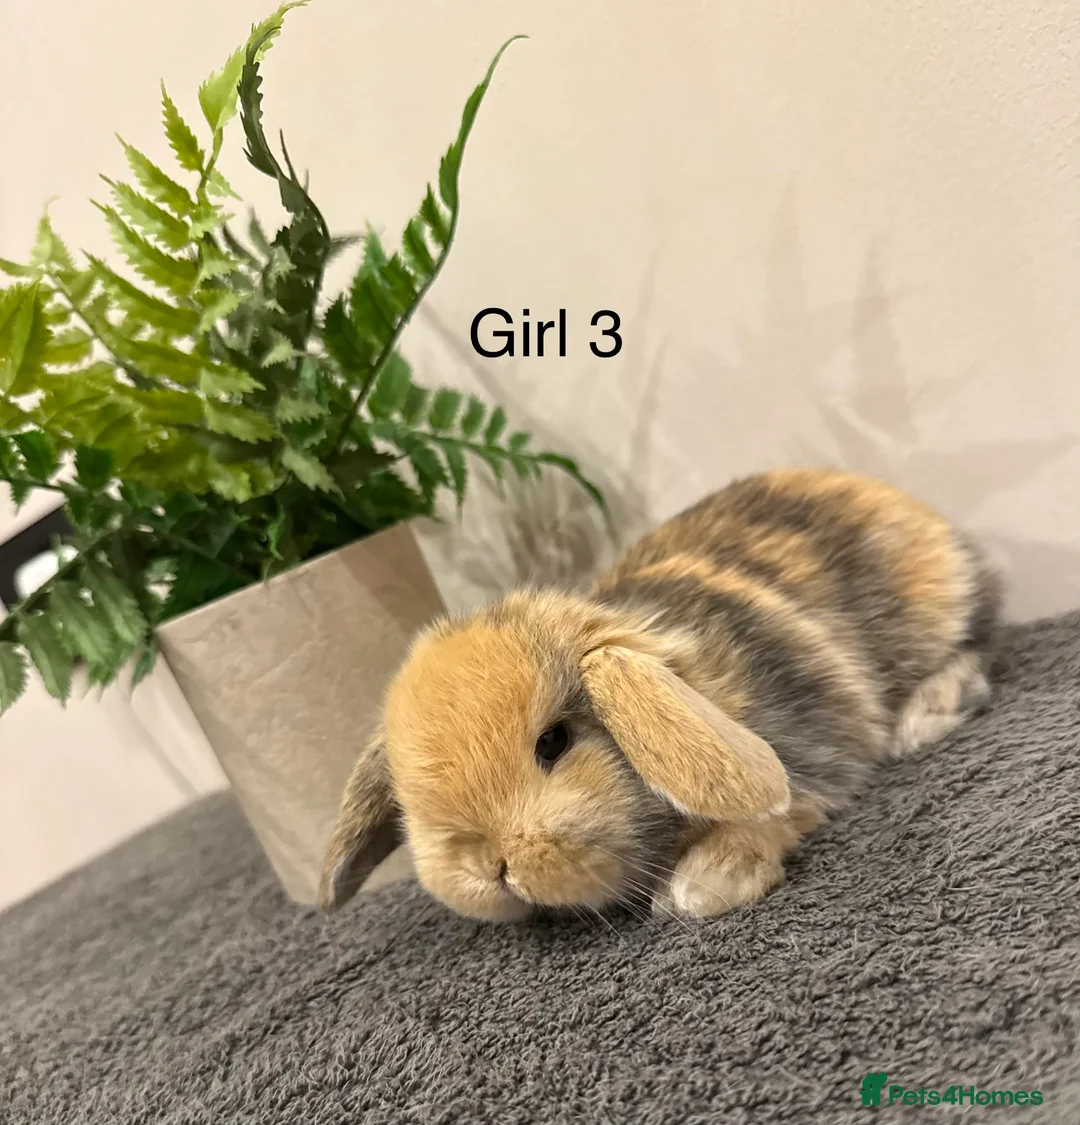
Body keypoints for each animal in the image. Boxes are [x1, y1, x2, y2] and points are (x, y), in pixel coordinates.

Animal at [319, 467, 1002, 923]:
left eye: (553, 742)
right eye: (407, 799)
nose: (489, 866)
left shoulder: (817, 742)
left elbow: (785, 809)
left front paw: (703, 885)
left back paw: (925, 716)